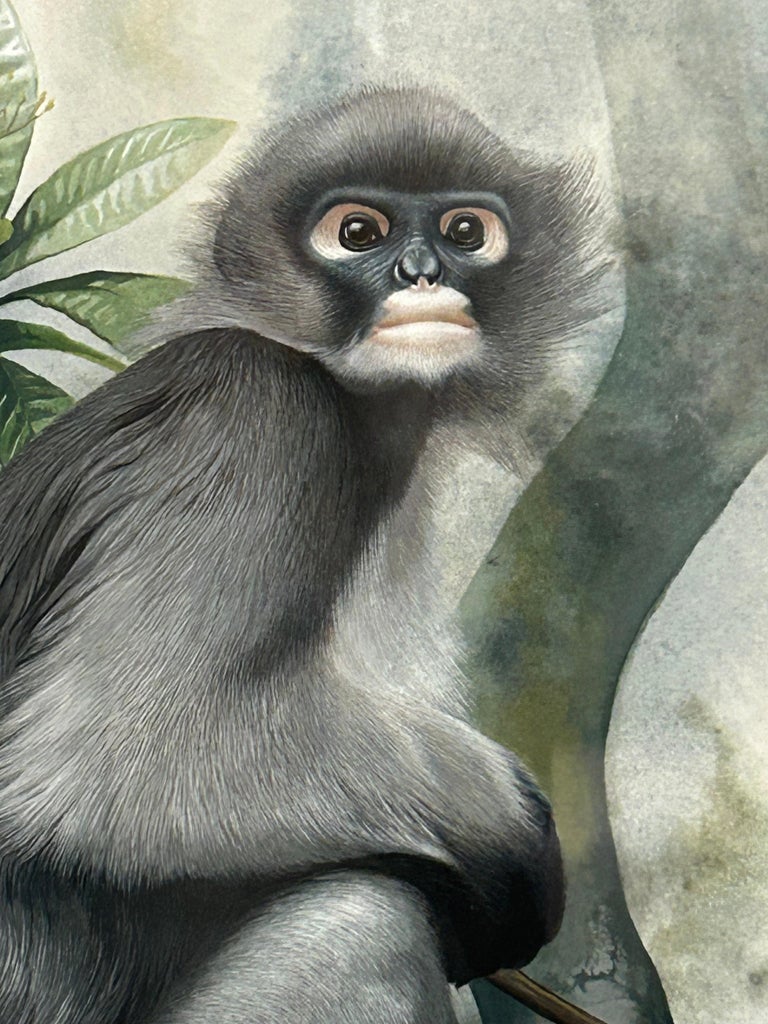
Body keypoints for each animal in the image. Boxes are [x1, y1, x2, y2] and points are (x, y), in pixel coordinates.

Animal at [0, 87, 615, 1024]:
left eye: (464, 232)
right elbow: (124, 760)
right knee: (367, 913)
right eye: (357, 233)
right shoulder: (254, 412)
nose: (420, 274)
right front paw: (512, 838)